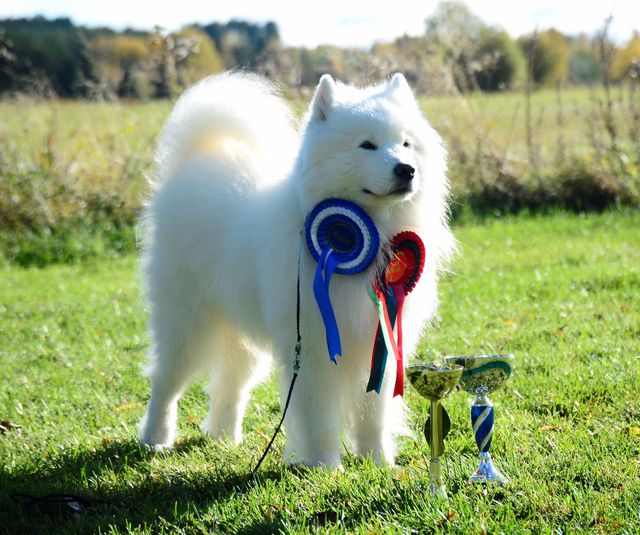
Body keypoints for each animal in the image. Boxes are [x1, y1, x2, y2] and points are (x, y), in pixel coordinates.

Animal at [139, 72, 452, 468]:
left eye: (406, 143)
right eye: (366, 145)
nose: (406, 169)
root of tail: (196, 159)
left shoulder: (379, 339)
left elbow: (373, 414)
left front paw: (378, 463)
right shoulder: (314, 345)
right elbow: (320, 415)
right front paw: (325, 465)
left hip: (241, 333)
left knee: (230, 384)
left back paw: (224, 437)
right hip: (188, 322)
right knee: (166, 381)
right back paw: (156, 438)